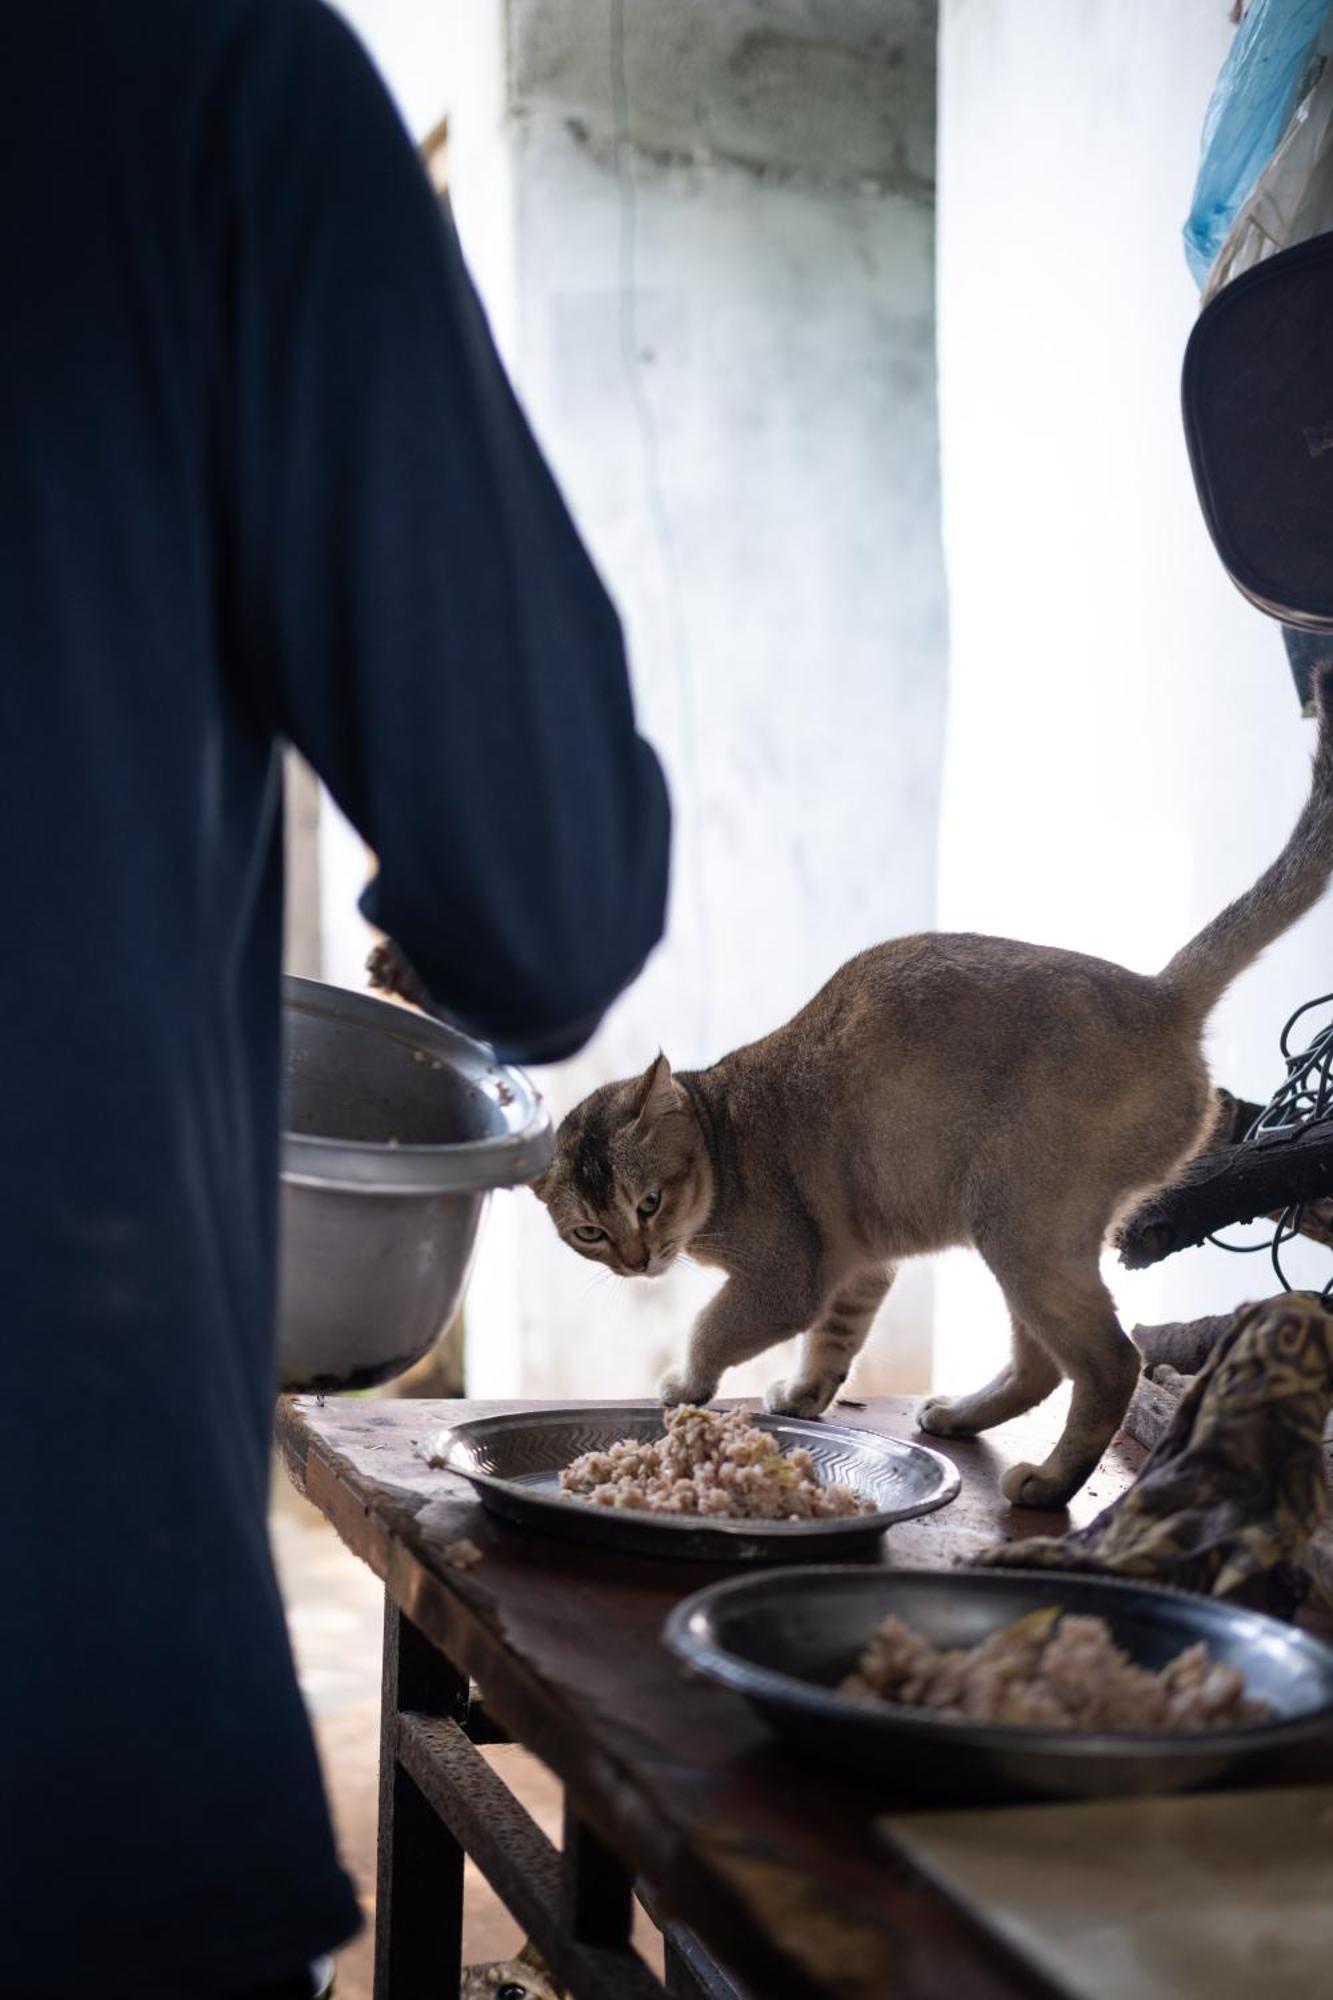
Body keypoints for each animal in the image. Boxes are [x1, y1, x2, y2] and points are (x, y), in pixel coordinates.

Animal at [532, 664, 1328, 1504]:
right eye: (589, 1232)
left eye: (648, 1202)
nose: (635, 1261)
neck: (721, 1132)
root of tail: (1159, 992)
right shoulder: (858, 1266)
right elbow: (832, 1342)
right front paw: (804, 1397)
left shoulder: (786, 1276)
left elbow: (712, 1328)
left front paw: (685, 1384)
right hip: (1031, 1231)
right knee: (1042, 1363)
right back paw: (963, 1417)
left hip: (1018, 1221)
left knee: (1110, 1361)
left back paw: (1049, 1481)